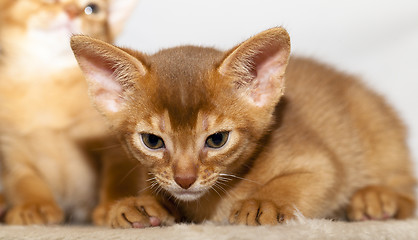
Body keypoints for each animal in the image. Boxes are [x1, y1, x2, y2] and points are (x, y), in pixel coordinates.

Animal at [0, 0, 142, 225]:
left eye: (92, 9)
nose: (72, 11)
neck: (48, 79)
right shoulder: (12, 150)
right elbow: (25, 182)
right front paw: (34, 205)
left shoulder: (116, 147)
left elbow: (117, 177)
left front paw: (115, 205)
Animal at [70, 27, 416, 228]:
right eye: (152, 141)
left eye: (217, 139)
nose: (185, 179)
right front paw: (142, 203)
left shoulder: (324, 165)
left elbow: (306, 179)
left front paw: (266, 202)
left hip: (378, 134)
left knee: (407, 190)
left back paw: (376, 199)